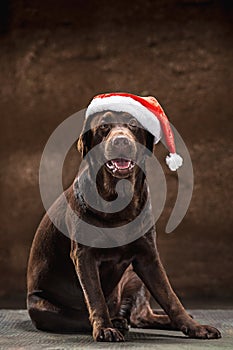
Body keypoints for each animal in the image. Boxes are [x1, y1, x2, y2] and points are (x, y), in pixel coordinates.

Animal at [26, 106, 221, 342]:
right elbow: (96, 297)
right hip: (42, 306)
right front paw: (105, 328)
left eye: (133, 125)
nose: (121, 141)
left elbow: (170, 297)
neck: (119, 201)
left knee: (140, 315)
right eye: (103, 126)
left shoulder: (148, 257)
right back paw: (116, 322)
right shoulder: (84, 256)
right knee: (85, 317)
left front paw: (194, 327)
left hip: (133, 275)